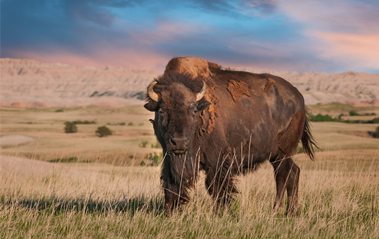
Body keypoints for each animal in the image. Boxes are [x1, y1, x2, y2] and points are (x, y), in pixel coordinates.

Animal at [145, 57, 318, 216]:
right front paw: (169, 213)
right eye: (162, 110)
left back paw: (284, 211)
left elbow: (217, 187)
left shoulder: (218, 160)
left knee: (285, 175)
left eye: (193, 110)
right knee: (290, 174)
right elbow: (171, 184)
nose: (179, 142)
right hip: (277, 156)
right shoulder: (169, 158)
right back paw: (283, 211)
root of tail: (300, 100)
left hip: (283, 154)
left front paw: (221, 213)